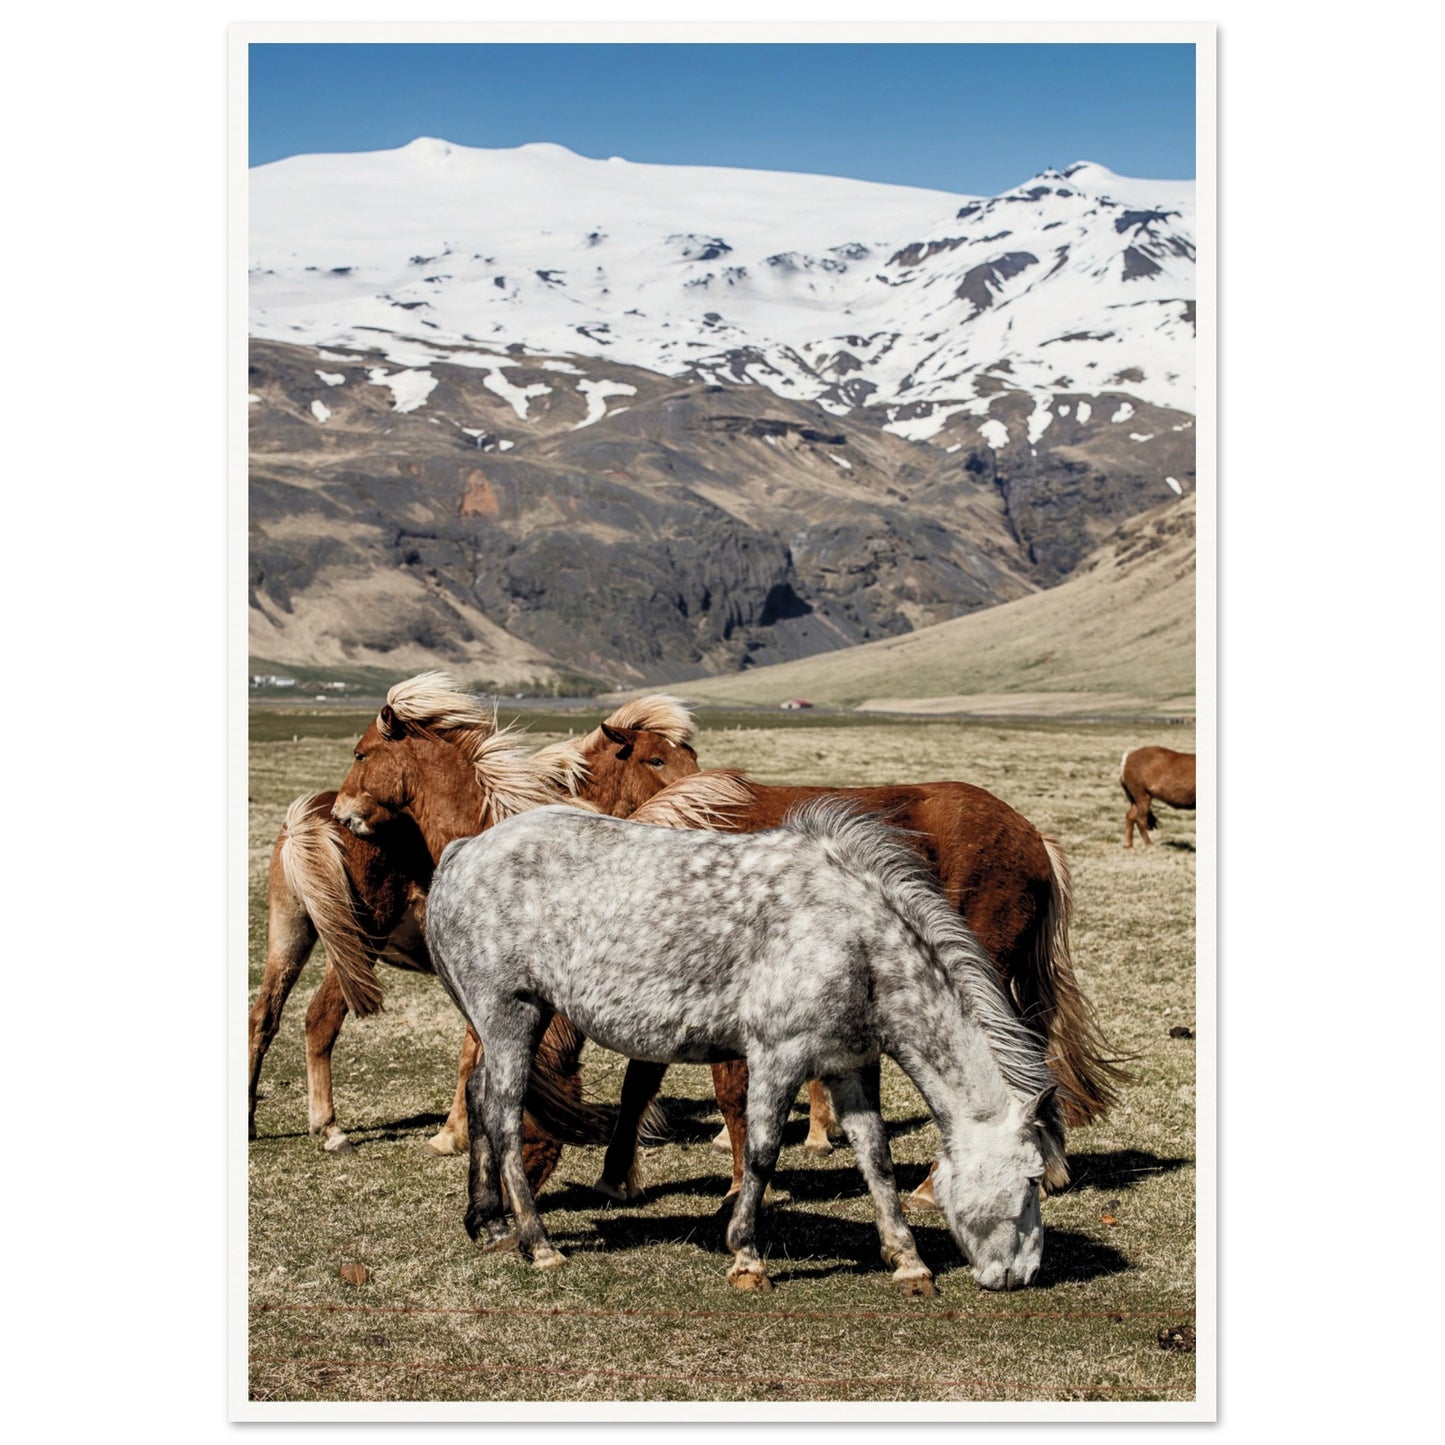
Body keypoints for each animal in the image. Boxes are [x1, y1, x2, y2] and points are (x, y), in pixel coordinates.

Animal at [247, 673, 699, 1167]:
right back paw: (330, 1128)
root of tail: (307, 819)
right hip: (356, 946)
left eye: (689, 756)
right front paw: (458, 1133)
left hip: (292, 937)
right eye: (657, 759)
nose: (345, 813)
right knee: (319, 1019)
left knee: (265, 1017)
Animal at [424, 801, 1065, 1295]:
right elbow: (760, 1153)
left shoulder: (851, 1066)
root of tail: (464, 850)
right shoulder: (778, 1056)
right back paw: (538, 1242)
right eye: (1034, 1180)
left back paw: (489, 1224)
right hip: (511, 1012)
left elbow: (876, 1159)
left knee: (480, 1097)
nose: (1024, 1274)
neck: (855, 940)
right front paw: (747, 1257)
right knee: (505, 1116)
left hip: (510, 1021)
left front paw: (908, 1262)